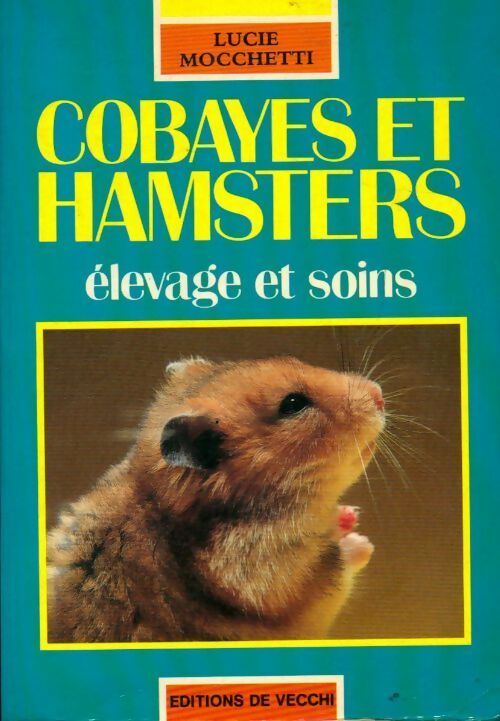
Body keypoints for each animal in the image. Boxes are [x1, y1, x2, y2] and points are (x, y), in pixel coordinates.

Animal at [47, 356, 385, 642]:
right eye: (293, 403)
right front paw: (360, 538)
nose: (379, 395)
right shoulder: (278, 578)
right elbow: (337, 565)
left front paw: (349, 515)